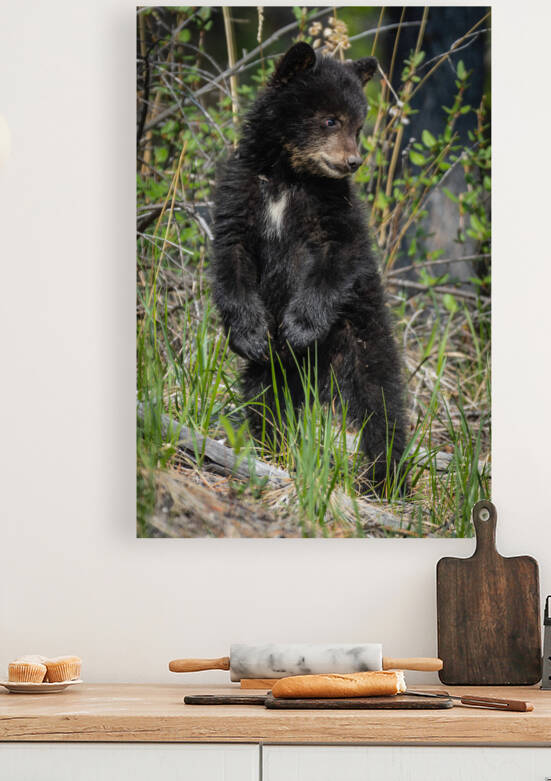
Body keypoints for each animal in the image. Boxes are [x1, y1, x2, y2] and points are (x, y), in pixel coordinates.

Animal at [211, 42, 408, 491]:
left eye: (358, 125)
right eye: (330, 119)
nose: (353, 161)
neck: (289, 175)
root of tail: (316, 372)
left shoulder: (334, 208)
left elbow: (338, 257)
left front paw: (301, 325)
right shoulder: (240, 194)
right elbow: (231, 257)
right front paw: (246, 332)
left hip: (360, 334)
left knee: (380, 399)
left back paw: (386, 475)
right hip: (273, 368)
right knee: (265, 395)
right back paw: (272, 449)